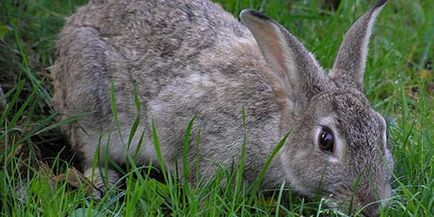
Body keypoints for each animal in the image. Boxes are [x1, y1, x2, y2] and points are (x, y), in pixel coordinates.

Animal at [50, 0, 394, 215]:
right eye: (326, 140)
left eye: (383, 131)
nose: (371, 207)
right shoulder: (185, 132)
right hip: (87, 101)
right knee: (88, 153)